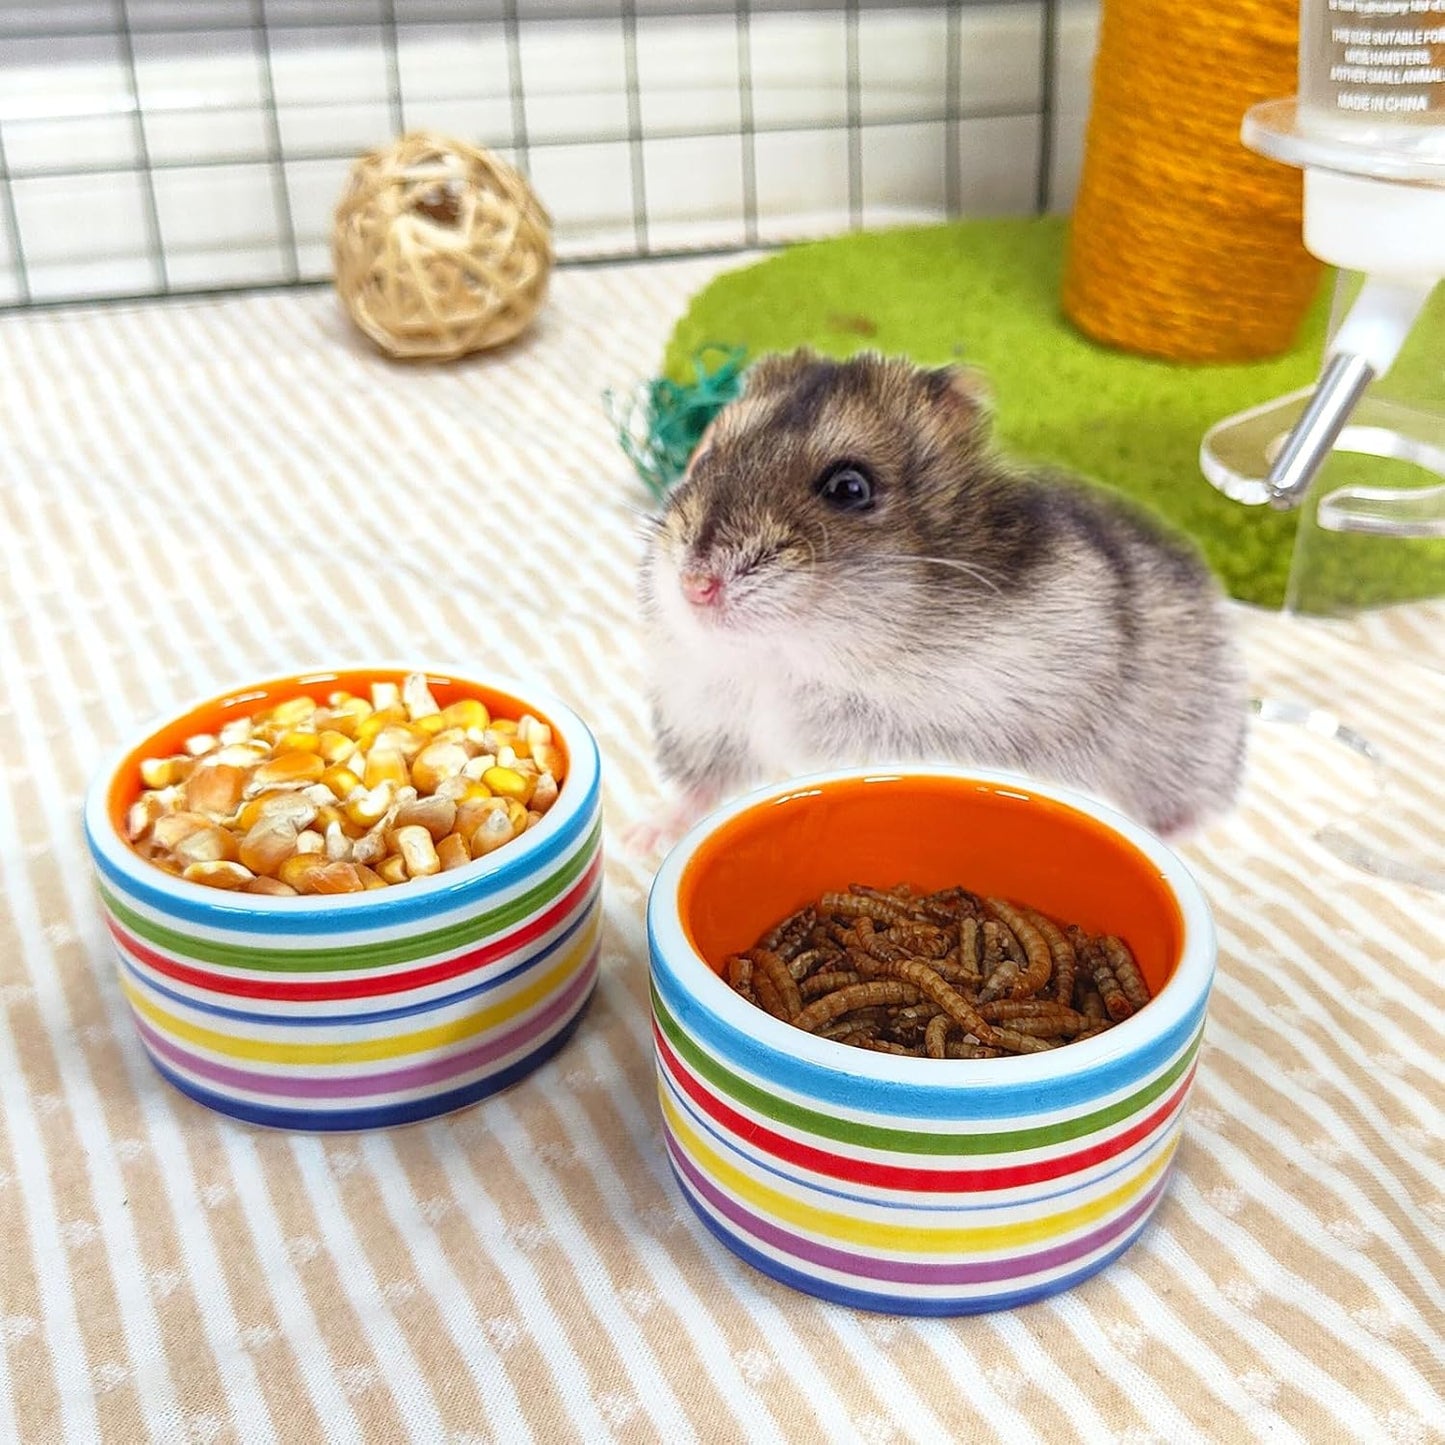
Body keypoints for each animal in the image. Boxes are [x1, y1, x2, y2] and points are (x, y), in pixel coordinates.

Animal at [635, 347, 1248, 843]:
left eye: (849, 488)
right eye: (705, 457)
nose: (695, 586)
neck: (790, 663)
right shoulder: (706, 721)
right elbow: (699, 787)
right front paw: (644, 838)